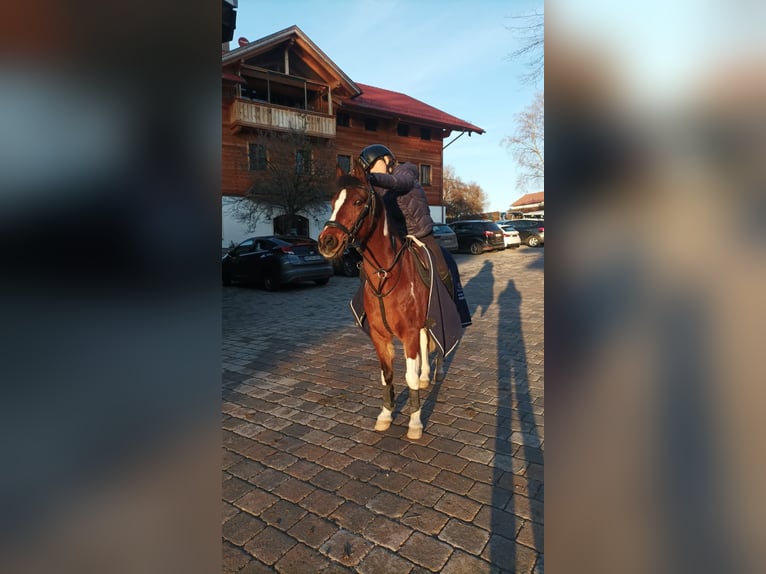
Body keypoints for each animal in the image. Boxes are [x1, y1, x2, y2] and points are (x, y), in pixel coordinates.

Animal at [317, 168, 442, 440]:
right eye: (332, 203)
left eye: (357, 201)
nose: (326, 242)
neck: (387, 275)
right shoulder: (379, 336)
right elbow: (387, 375)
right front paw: (386, 414)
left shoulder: (408, 334)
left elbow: (409, 377)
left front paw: (415, 422)